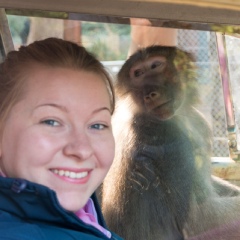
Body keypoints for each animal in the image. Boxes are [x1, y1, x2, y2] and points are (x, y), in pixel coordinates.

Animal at [101, 45, 240, 240]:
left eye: (155, 65)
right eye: (138, 73)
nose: (150, 93)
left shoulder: (198, 122)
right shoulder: (166, 138)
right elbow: (199, 221)